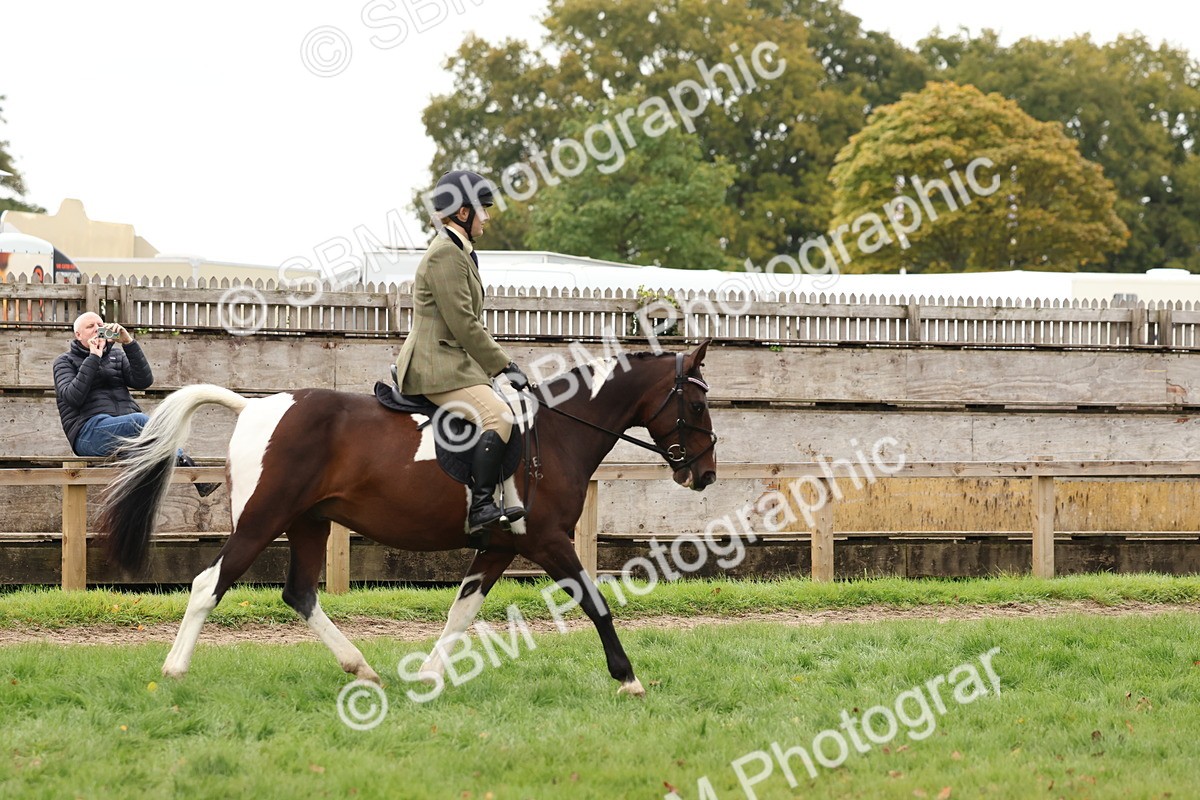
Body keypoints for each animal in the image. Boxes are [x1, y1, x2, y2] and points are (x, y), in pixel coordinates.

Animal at [97, 341, 717, 697]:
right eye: (697, 404)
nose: (706, 474)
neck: (558, 431)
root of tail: (254, 406)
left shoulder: (499, 547)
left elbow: (462, 612)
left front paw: (428, 676)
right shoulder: (547, 542)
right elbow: (596, 603)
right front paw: (628, 678)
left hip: (308, 523)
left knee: (299, 593)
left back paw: (361, 668)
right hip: (260, 522)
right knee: (209, 584)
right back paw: (174, 670)